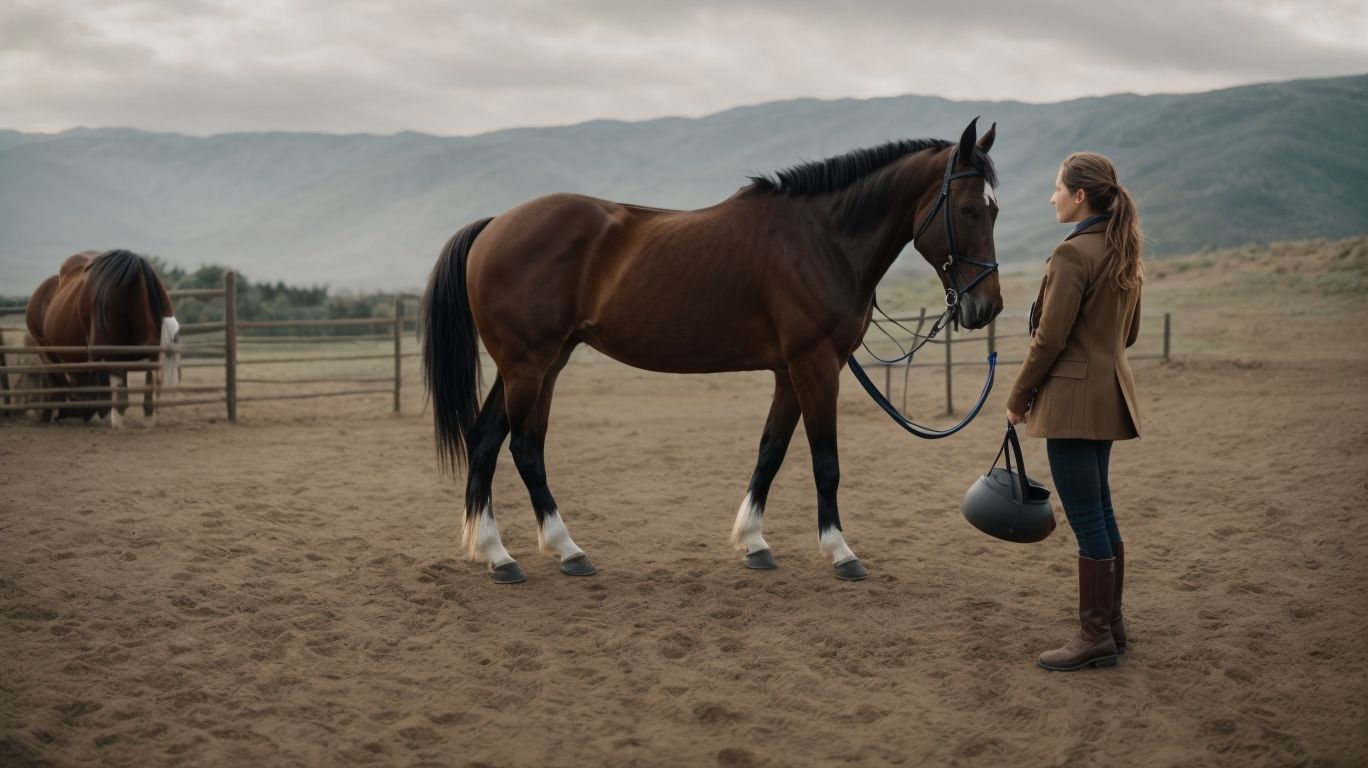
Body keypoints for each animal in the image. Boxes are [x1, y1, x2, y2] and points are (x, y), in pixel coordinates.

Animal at [25, 250, 180, 427]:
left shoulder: (149, 352)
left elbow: (146, 383)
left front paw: (144, 417)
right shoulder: (109, 353)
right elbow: (117, 386)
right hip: (45, 347)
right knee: (58, 377)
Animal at [421, 119, 1002, 583]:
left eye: (995, 210)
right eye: (969, 208)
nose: (986, 307)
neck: (822, 239)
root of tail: (494, 226)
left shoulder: (789, 371)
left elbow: (770, 452)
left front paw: (754, 543)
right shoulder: (816, 366)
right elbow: (825, 462)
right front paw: (840, 553)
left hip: (543, 363)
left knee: (489, 441)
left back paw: (504, 552)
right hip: (528, 363)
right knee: (522, 448)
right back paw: (546, 553)